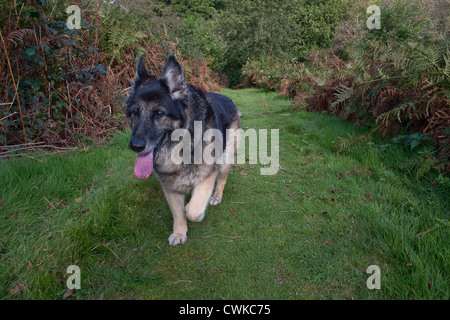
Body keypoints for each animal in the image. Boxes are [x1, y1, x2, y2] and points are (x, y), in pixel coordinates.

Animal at [125, 54, 241, 245]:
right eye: (135, 111)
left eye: (160, 113)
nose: (135, 146)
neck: (182, 144)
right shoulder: (170, 185)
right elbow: (178, 212)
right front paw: (180, 233)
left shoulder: (207, 175)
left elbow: (192, 210)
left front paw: (197, 212)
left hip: (225, 159)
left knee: (222, 179)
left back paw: (216, 196)